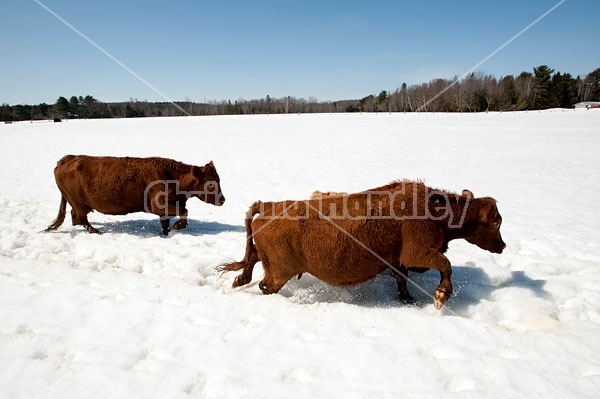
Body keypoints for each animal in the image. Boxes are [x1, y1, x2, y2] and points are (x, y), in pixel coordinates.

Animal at [45, 155, 225, 236]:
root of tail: (66, 159)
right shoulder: (158, 204)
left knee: (75, 216)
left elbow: (166, 223)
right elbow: (184, 213)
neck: (173, 177)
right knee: (81, 218)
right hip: (78, 202)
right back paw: (96, 231)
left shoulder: (166, 209)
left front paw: (167, 232)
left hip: (76, 202)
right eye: (211, 183)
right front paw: (176, 226)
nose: (223, 200)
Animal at [218, 180, 504, 310]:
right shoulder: (417, 254)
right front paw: (440, 296)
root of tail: (268, 206)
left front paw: (408, 299)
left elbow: (403, 280)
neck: (433, 209)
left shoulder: (399, 262)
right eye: (496, 221)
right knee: (265, 286)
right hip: (279, 273)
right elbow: (446, 265)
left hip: (264, 261)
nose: (502, 246)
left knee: (248, 270)